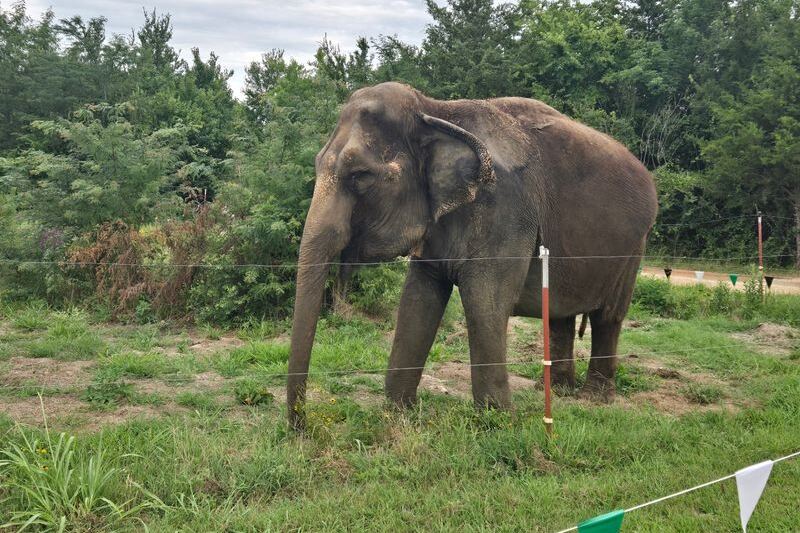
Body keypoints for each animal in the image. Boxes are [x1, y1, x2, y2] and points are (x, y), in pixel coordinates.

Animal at [287, 82, 657, 430]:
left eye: (359, 176)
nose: (302, 427)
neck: (436, 110)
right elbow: (419, 297)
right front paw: (396, 413)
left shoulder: (505, 209)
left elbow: (484, 301)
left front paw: (500, 423)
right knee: (560, 314)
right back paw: (557, 391)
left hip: (633, 248)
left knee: (608, 316)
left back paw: (595, 399)